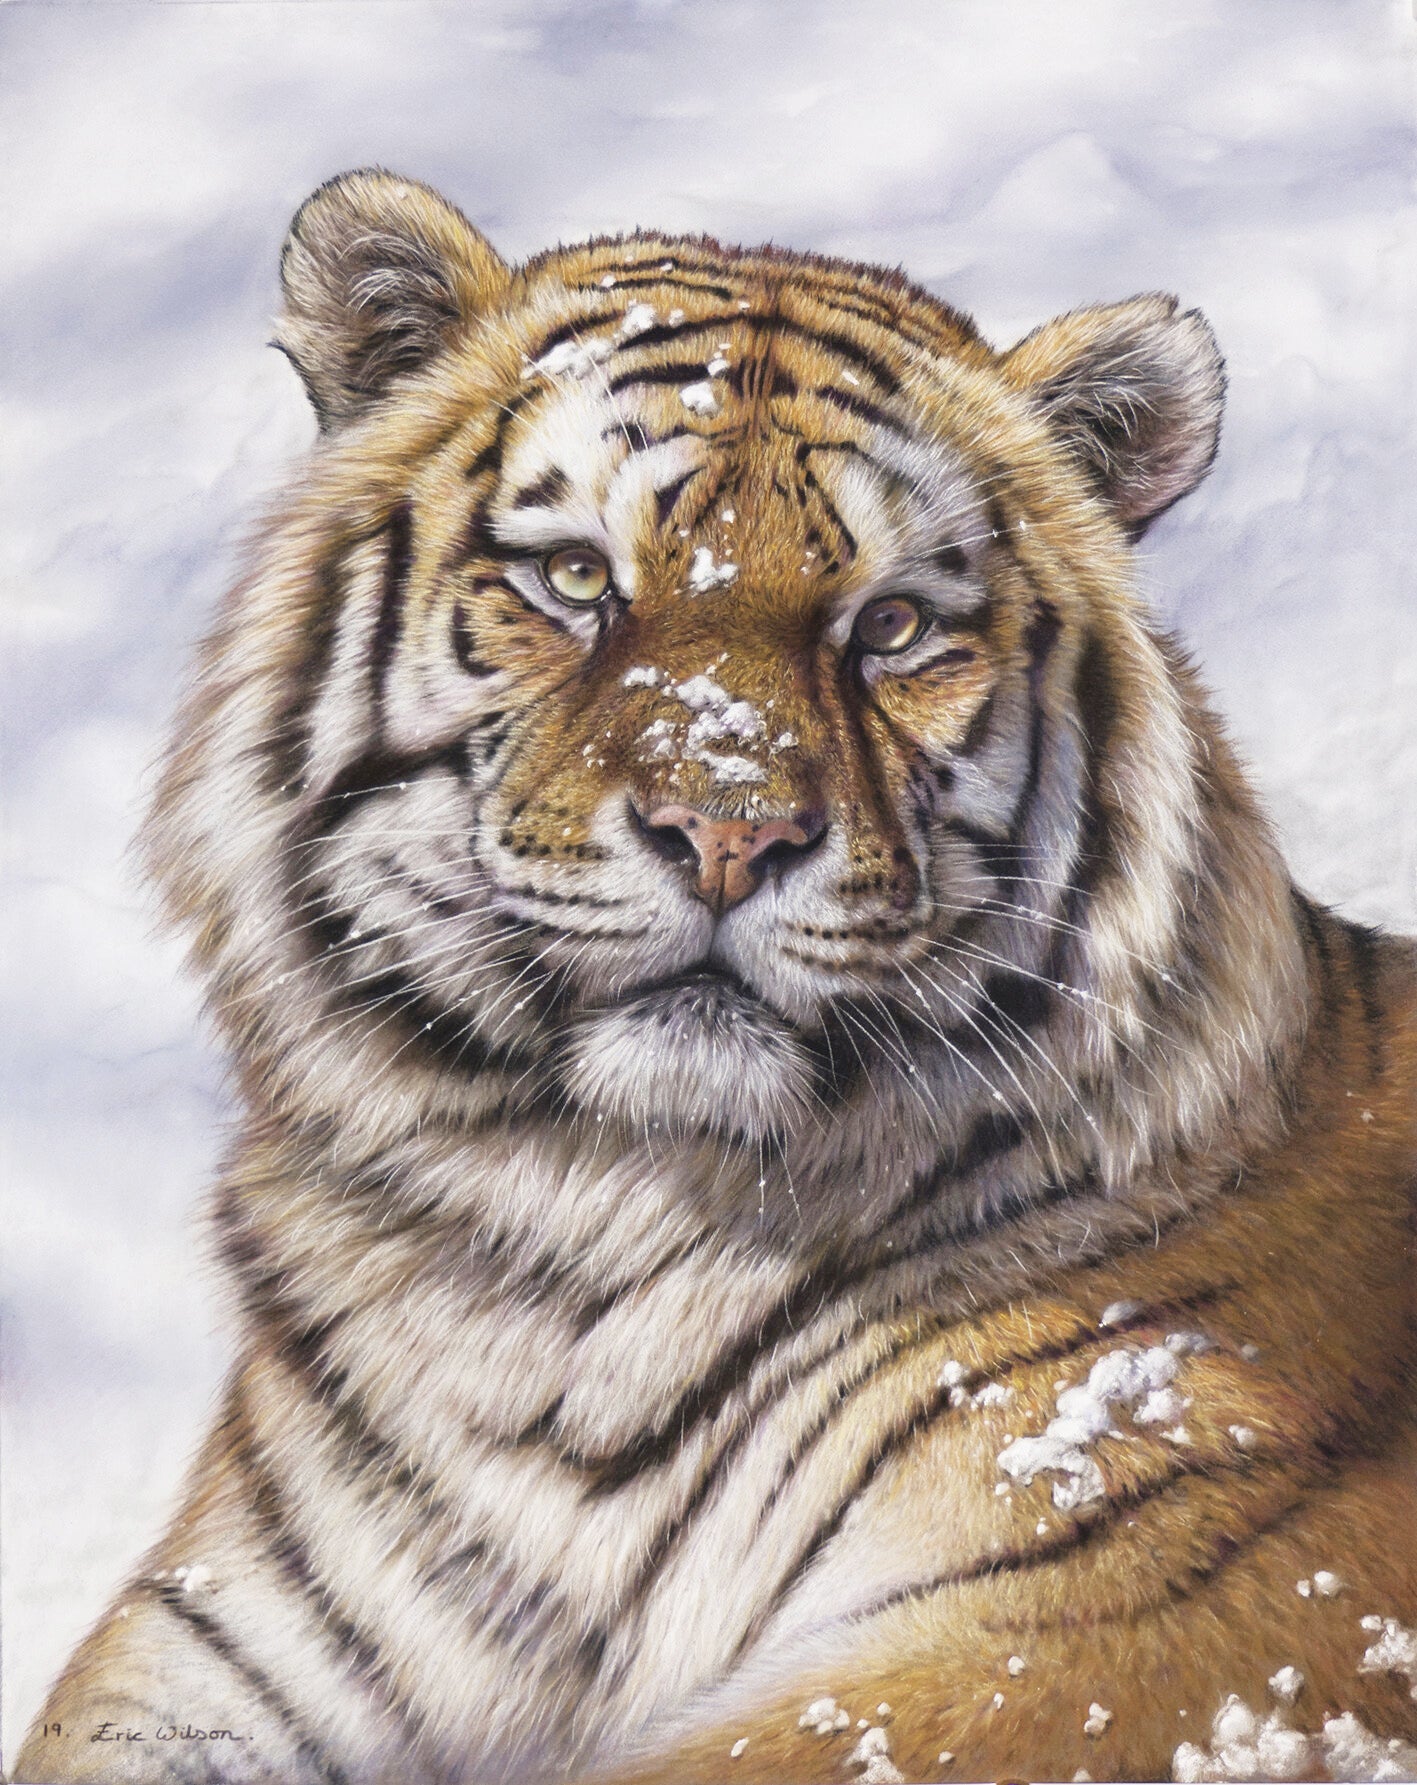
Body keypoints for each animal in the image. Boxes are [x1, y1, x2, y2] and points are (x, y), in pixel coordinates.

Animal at [16, 167, 1417, 1785]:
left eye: (891, 626)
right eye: (576, 578)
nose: (730, 828)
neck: (582, 1251)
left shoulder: (1129, 1612)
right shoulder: (214, 1640)